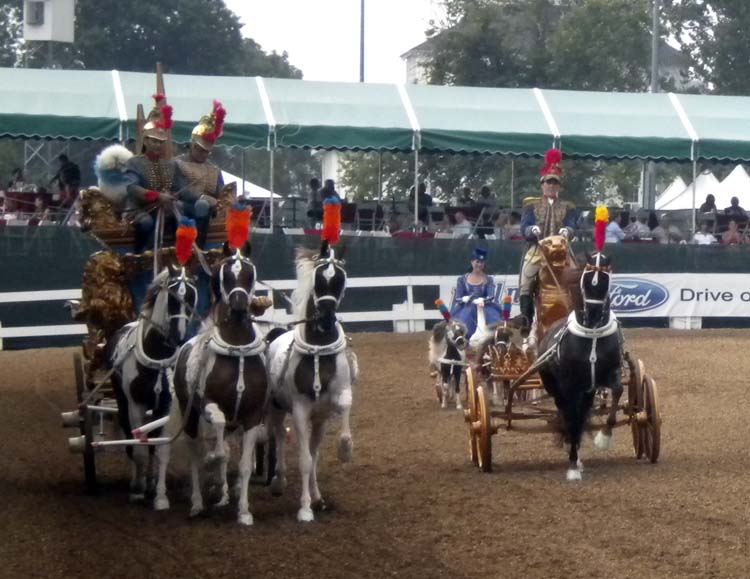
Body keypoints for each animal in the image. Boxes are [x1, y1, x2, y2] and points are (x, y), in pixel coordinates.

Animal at [107, 263, 198, 506]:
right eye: (173, 298)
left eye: (192, 296)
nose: (178, 336)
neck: (157, 356)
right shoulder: (135, 405)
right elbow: (137, 448)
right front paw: (138, 489)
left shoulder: (165, 406)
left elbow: (160, 448)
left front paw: (159, 494)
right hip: (122, 402)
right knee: (132, 441)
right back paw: (138, 482)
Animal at [167, 241, 268, 525]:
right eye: (223, 275)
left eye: (249, 272)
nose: (239, 305)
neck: (237, 349)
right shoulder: (210, 404)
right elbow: (217, 446)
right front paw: (213, 459)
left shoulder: (252, 415)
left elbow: (243, 465)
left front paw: (244, 511)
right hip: (189, 413)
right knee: (194, 451)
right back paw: (197, 503)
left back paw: (222, 495)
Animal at [266, 241, 357, 522]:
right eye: (319, 279)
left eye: (340, 279)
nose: (326, 319)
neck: (318, 351)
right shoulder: (299, 410)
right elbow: (304, 460)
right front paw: (305, 509)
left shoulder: (334, 401)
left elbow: (343, 419)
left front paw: (345, 451)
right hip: (276, 409)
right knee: (279, 437)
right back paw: (279, 481)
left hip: (318, 419)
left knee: (314, 451)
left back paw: (317, 496)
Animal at [537, 251, 623, 481]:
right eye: (587, 279)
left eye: (605, 279)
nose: (592, 313)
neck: (592, 334)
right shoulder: (569, 385)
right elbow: (572, 420)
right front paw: (573, 467)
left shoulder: (609, 373)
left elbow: (618, 391)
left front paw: (604, 437)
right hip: (556, 388)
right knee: (568, 415)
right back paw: (572, 452)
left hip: (588, 391)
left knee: (580, 414)